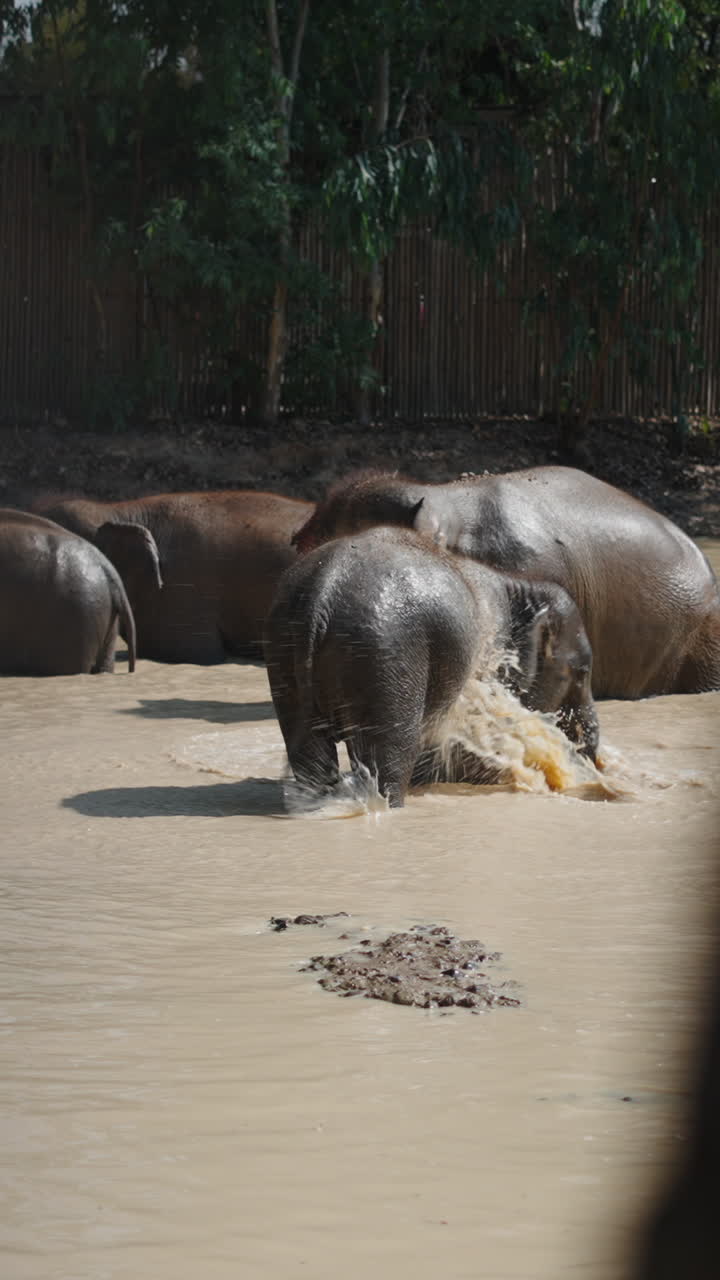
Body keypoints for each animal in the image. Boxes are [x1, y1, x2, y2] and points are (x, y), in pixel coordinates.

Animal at [265, 526, 599, 808]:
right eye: (581, 673)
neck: (517, 585)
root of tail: (322, 593)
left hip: (285, 644)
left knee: (309, 748)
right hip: (386, 654)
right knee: (391, 752)